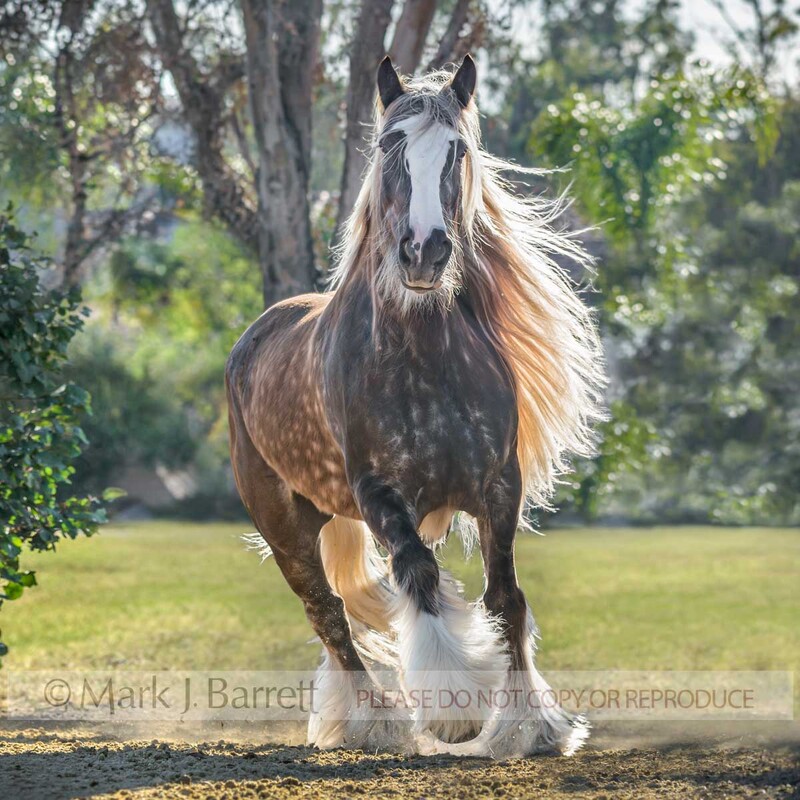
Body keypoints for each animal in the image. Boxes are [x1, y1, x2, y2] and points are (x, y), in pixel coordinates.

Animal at [226, 55, 605, 759]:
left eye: (457, 150)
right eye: (388, 145)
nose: (424, 252)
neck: (425, 367)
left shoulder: (498, 487)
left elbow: (505, 598)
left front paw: (531, 726)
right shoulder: (381, 496)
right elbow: (422, 579)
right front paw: (457, 711)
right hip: (285, 528)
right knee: (328, 614)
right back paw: (374, 721)